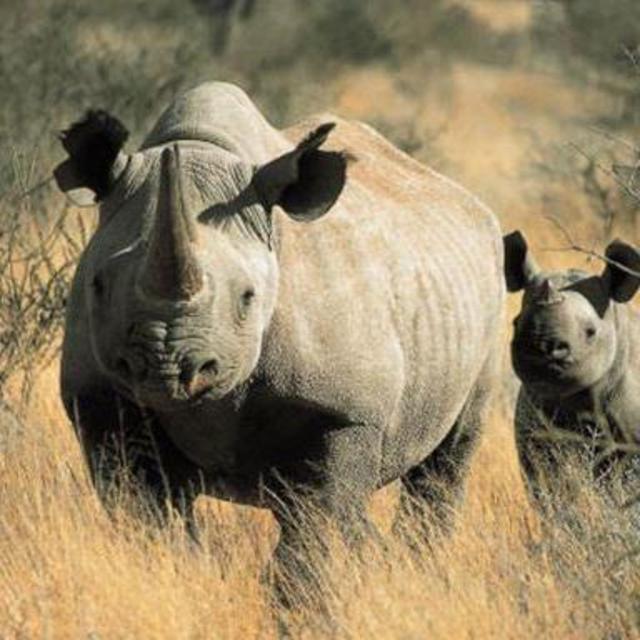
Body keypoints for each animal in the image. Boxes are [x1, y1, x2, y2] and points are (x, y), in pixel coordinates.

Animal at [55, 82, 505, 583]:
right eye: (97, 285)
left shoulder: (341, 410)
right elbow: (148, 517)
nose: (165, 369)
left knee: (445, 458)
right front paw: (177, 577)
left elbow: (313, 525)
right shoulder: (102, 400)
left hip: (489, 284)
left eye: (248, 296)